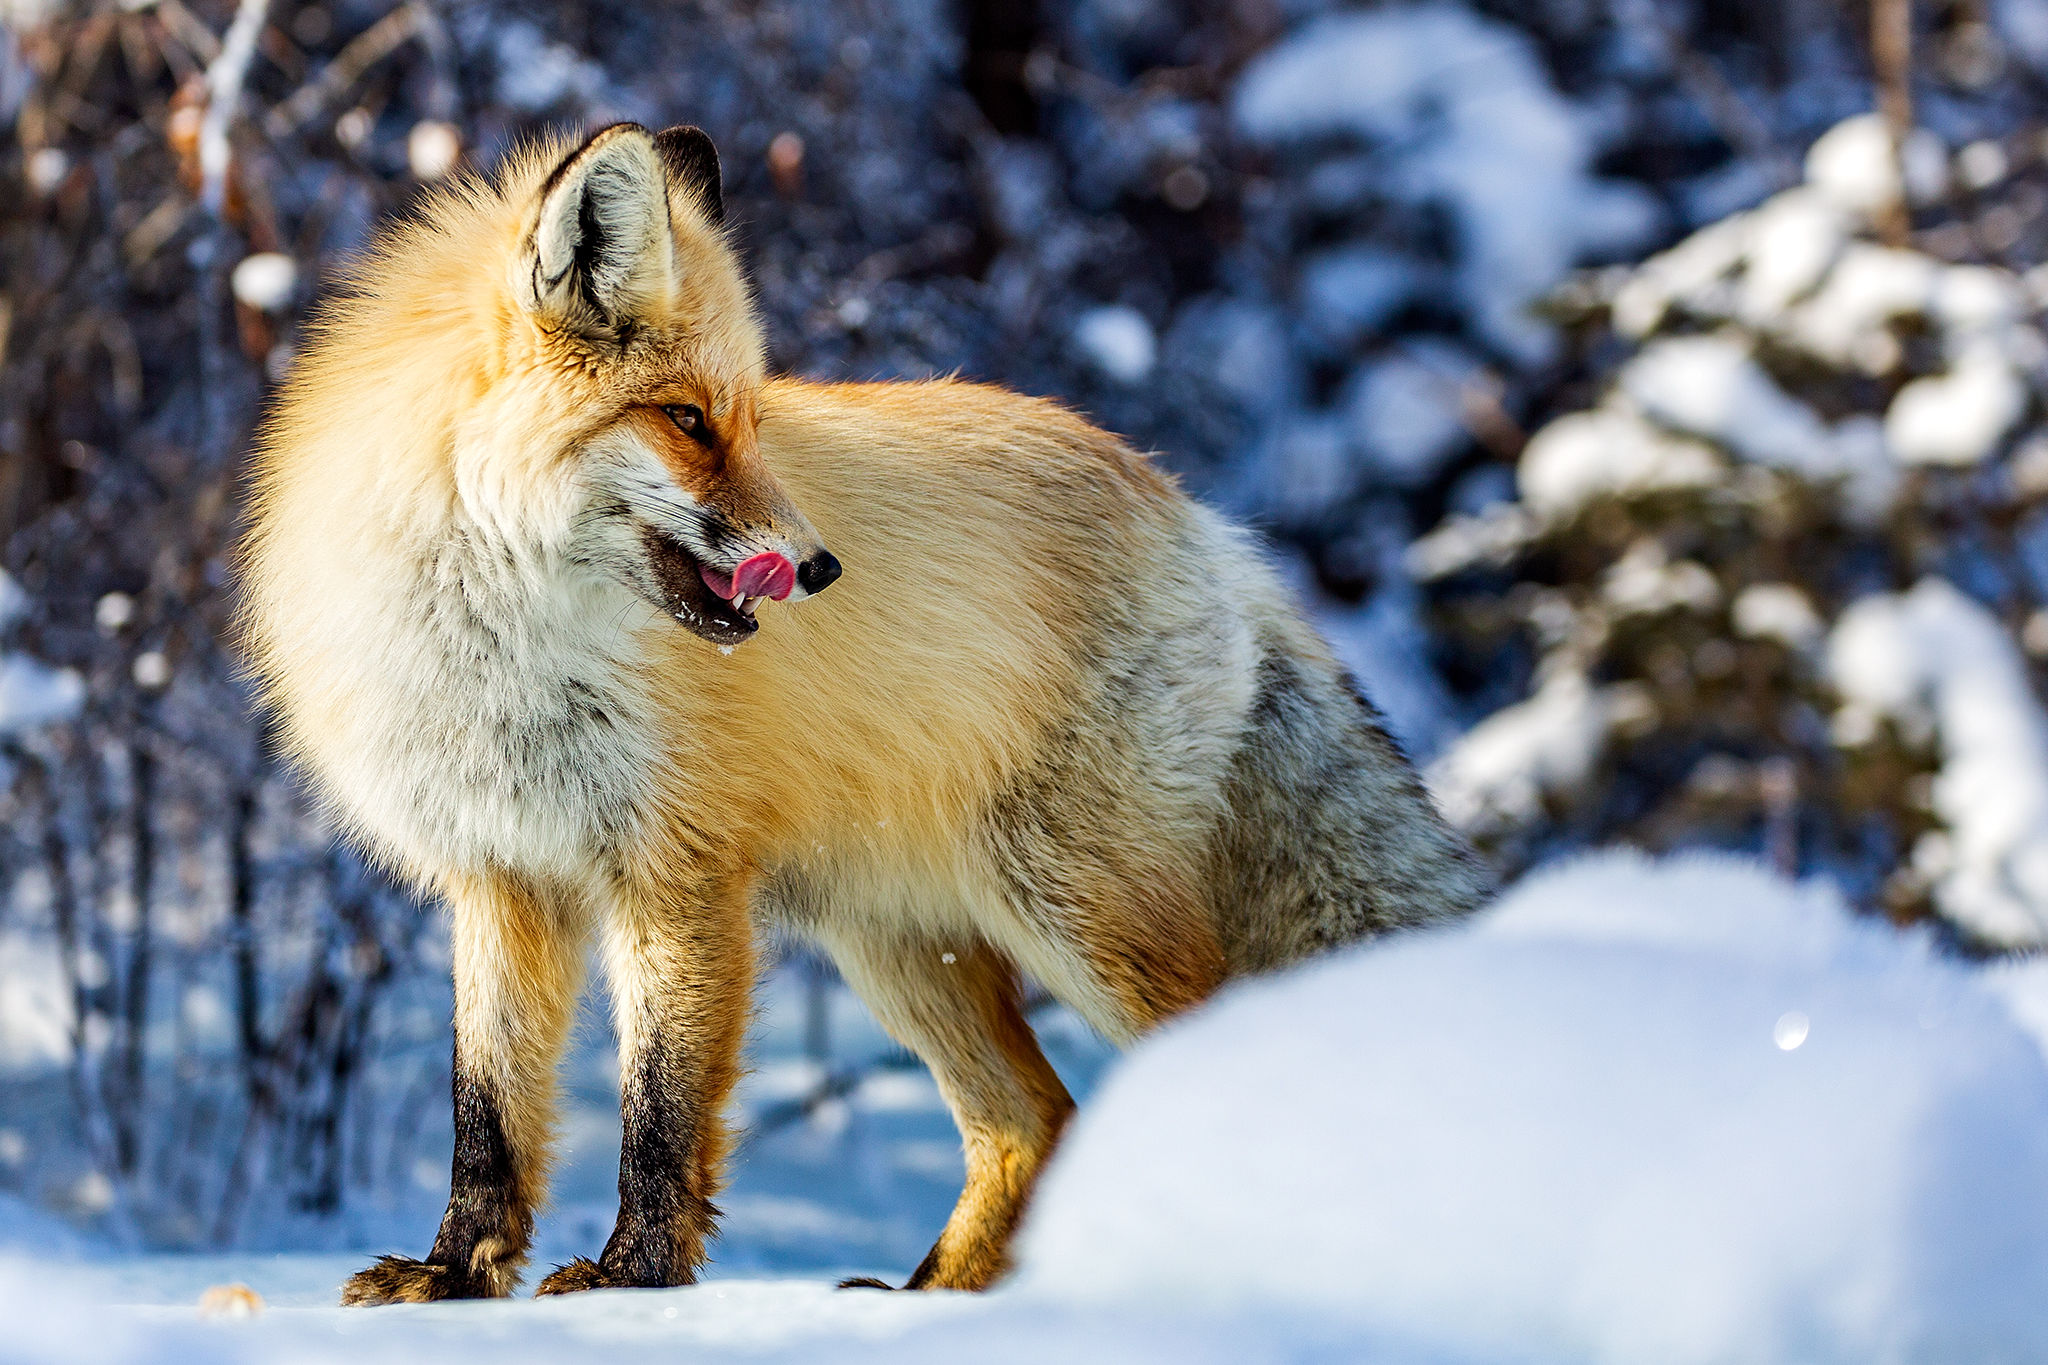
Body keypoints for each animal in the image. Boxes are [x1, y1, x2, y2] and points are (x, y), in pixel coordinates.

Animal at [235, 125, 1490, 1301]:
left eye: (748, 417)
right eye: (686, 419)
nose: (820, 568)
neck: (501, 648)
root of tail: (1202, 519)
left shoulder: (676, 872)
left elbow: (661, 1113)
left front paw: (634, 1277)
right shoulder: (499, 874)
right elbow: (486, 1114)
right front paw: (453, 1276)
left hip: (1070, 907)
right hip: (893, 942)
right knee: (1030, 1121)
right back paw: (923, 1300)